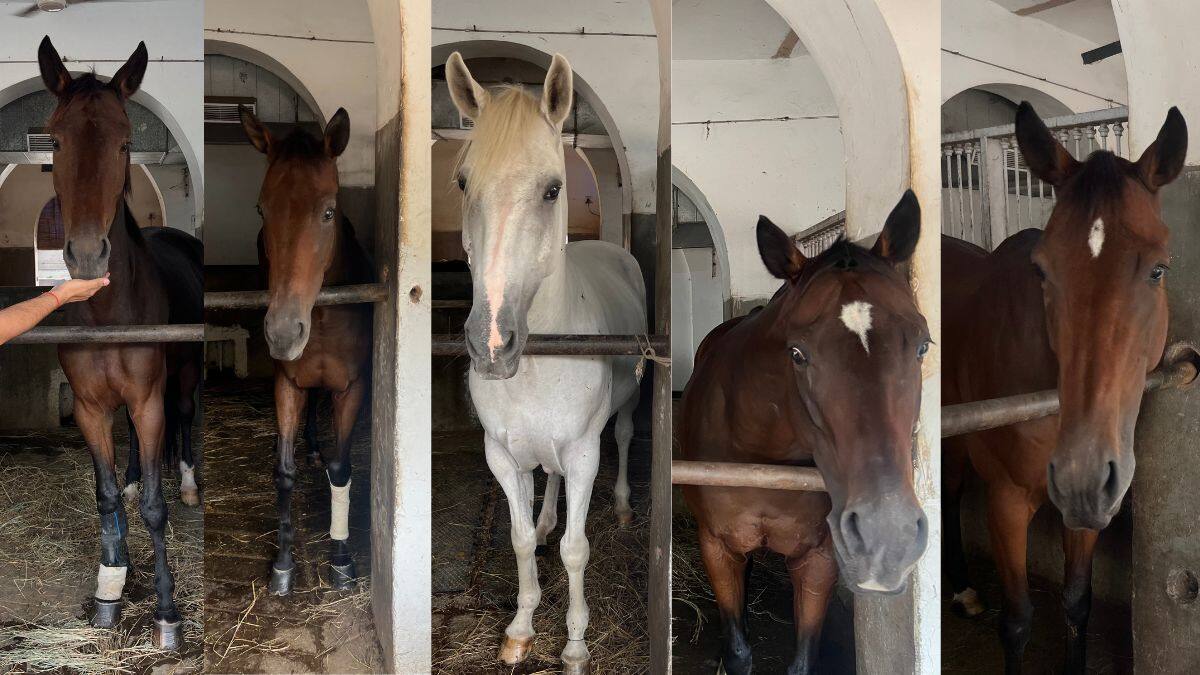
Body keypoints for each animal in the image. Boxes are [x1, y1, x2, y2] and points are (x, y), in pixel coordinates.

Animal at [38, 36, 203, 649]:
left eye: (126, 141)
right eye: (55, 140)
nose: (88, 256)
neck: (110, 313)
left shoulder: (150, 399)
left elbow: (156, 509)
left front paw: (167, 612)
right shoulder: (90, 407)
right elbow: (106, 495)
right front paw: (110, 588)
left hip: (184, 374)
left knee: (185, 416)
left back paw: (189, 484)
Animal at [238, 106, 374, 595]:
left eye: (328, 211)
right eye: (261, 209)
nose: (282, 333)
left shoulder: (352, 388)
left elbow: (342, 469)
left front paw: (342, 560)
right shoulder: (288, 384)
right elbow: (285, 472)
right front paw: (282, 564)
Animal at [444, 52, 644, 673]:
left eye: (554, 189)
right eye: (463, 182)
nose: (491, 343)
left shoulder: (583, 454)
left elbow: (576, 550)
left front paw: (575, 645)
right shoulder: (503, 457)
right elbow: (521, 539)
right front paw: (519, 630)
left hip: (627, 411)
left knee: (624, 438)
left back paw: (623, 508)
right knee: (547, 488)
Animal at [680, 191, 930, 674]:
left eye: (923, 345)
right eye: (797, 353)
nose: (886, 533)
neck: (759, 453)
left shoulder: (819, 558)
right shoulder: (717, 547)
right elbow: (738, 650)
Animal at [942, 102, 1186, 673]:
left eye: (1158, 269)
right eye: (1042, 270)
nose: (1079, 474)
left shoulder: (1094, 503)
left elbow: (1077, 603)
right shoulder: (1007, 501)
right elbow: (1017, 622)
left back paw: (964, 591)